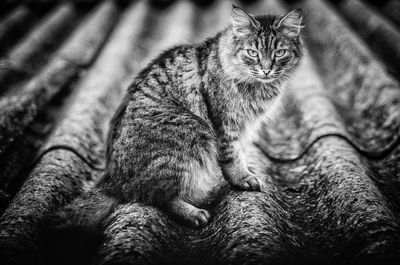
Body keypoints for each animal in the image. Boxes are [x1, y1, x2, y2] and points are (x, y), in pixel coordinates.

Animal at [47, 4, 304, 241]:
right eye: (252, 52)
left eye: (280, 53)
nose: (266, 69)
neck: (259, 87)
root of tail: (113, 179)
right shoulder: (224, 122)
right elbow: (232, 156)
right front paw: (243, 178)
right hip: (191, 134)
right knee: (157, 197)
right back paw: (194, 213)